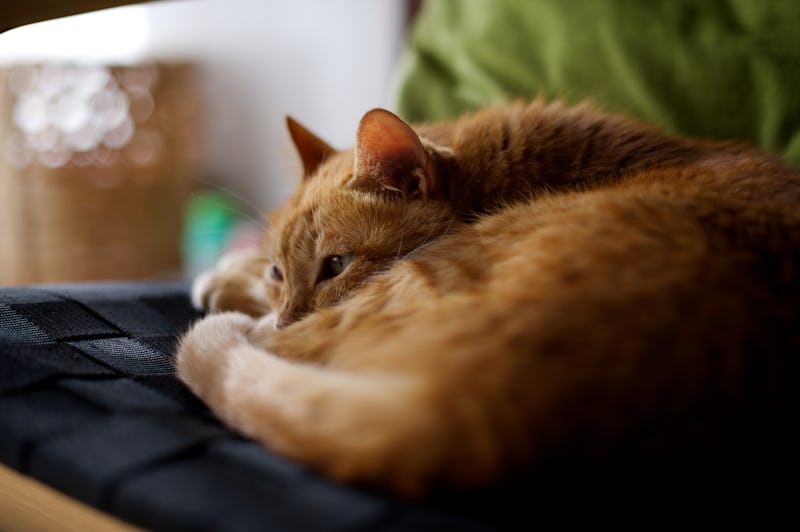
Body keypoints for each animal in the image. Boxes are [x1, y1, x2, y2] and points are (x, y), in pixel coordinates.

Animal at [177, 100, 800, 498]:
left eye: (337, 265)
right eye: (280, 271)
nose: (284, 312)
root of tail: (489, 409)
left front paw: (227, 283)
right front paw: (234, 271)